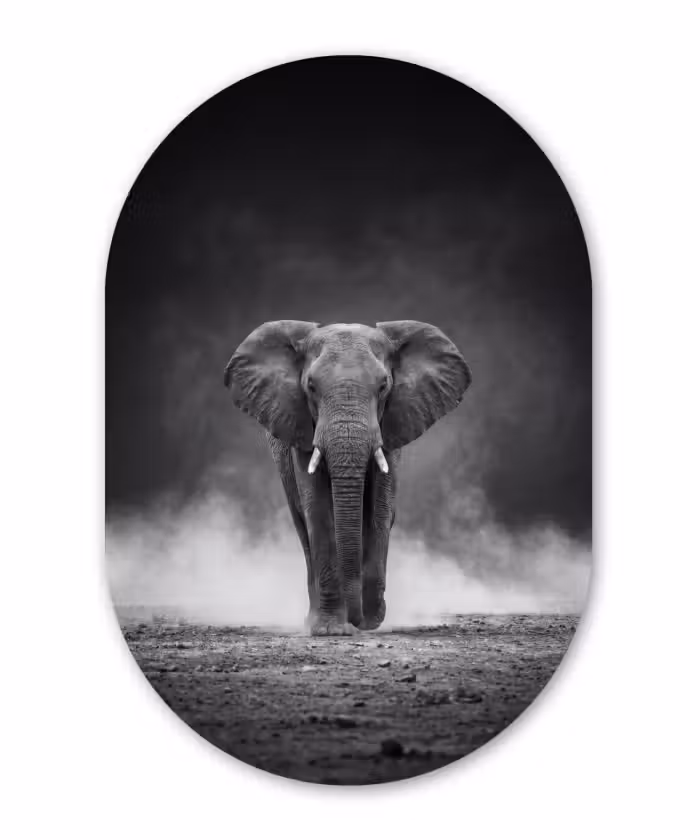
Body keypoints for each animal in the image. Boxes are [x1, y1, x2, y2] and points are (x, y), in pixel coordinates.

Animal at [224, 321, 471, 635]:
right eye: (311, 386)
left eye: (383, 386)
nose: (358, 620)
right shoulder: (301, 425)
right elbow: (317, 509)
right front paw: (331, 630)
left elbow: (380, 510)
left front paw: (371, 619)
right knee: (303, 527)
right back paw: (313, 619)